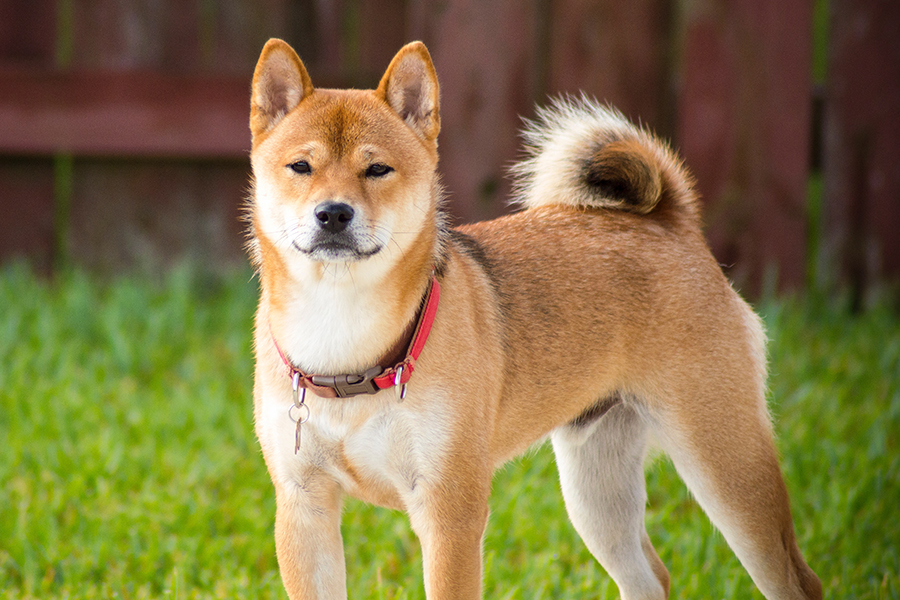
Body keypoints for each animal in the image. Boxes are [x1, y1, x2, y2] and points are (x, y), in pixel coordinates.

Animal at [246, 38, 824, 600]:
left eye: (377, 169)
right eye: (301, 167)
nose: (333, 213)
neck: (344, 339)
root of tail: (671, 223)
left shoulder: (450, 512)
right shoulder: (303, 506)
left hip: (727, 468)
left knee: (797, 580)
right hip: (597, 486)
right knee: (649, 578)